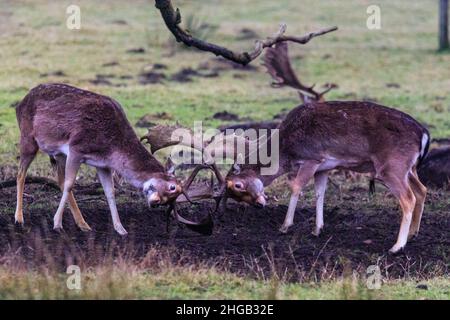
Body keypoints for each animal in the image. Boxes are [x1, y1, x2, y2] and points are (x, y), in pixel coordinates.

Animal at [14, 83, 210, 235]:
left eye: (170, 199)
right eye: (172, 187)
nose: (154, 203)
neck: (111, 146)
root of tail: (19, 103)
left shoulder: (102, 164)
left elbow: (110, 192)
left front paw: (121, 229)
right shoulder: (76, 148)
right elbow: (71, 184)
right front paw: (56, 224)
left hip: (59, 154)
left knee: (59, 181)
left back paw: (84, 225)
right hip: (28, 138)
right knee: (21, 173)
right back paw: (19, 219)